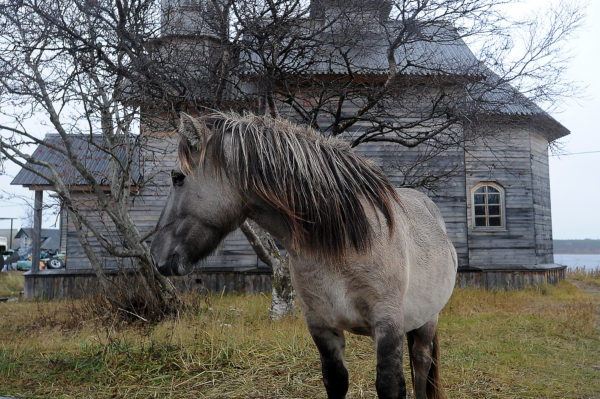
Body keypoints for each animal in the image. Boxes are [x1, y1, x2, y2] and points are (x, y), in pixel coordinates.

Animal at [150, 111, 454, 399]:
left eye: (177, 177)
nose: (156, 256)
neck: (344, 246)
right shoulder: (321, 327)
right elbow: (335, 381)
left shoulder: (388, 325)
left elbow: (390, 386)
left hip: (427, 321)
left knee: (421, 369)